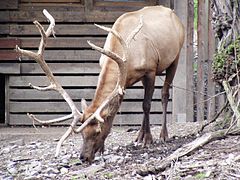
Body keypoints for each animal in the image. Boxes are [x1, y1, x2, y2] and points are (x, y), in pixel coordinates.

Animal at [15, 6, 185, 162]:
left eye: (97, 130)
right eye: (82, 133)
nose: (83, 157)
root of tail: (174, 14)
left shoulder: (150, 70)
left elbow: (146, 105)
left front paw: (148, 140)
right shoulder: (122, 82)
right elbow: (116, 107)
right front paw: (104, 149)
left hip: (175, 57)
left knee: (164, 94)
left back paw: (163, 135)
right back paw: (139, 136)